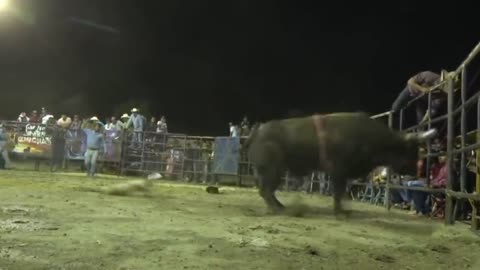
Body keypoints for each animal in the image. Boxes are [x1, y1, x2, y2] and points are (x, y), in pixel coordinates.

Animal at [242, 113, 436, 216]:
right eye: (410, 149)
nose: (415, 170)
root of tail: (257, 132)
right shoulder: (338, 171)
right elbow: (337, 192)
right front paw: (340, 212)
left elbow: (340, 192)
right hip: (272, 170)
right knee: (266, 190)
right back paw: (278, 209)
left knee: (266, 190)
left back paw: (281, 206)